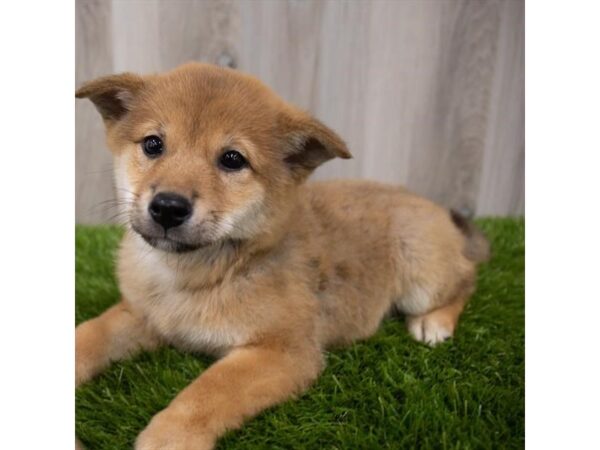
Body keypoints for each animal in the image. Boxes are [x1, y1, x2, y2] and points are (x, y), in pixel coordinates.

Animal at [75, 62, 490, 450]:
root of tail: (431, 206)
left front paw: (170, 436)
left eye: (232, 159)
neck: (198, 273)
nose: (168, 207)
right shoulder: (140, 314)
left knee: (468, 278)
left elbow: (210, 389)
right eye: (153, 144)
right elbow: (92, 333)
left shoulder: (285, 351)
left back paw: (434, 322)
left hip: (420, 272)